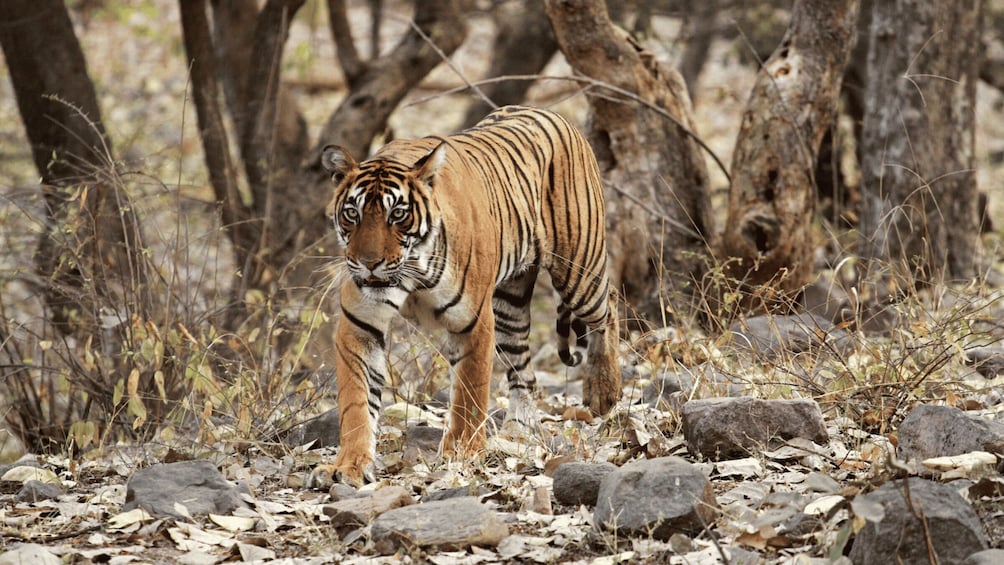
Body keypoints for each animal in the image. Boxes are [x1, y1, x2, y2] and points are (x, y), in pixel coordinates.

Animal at [319, 106, 618, 485]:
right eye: (352, 214)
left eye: (397, 214)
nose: (369, 263)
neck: (411, 270)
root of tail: (549, 112)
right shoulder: (360, 326)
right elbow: (356, 402)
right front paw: (349, 466)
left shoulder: (472, 320)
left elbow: (470, 391)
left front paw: (462, 451)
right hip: (510, 304)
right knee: (523, 371)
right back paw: (519, 431)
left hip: (579, 269)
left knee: (609, 309)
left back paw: (603, 393)